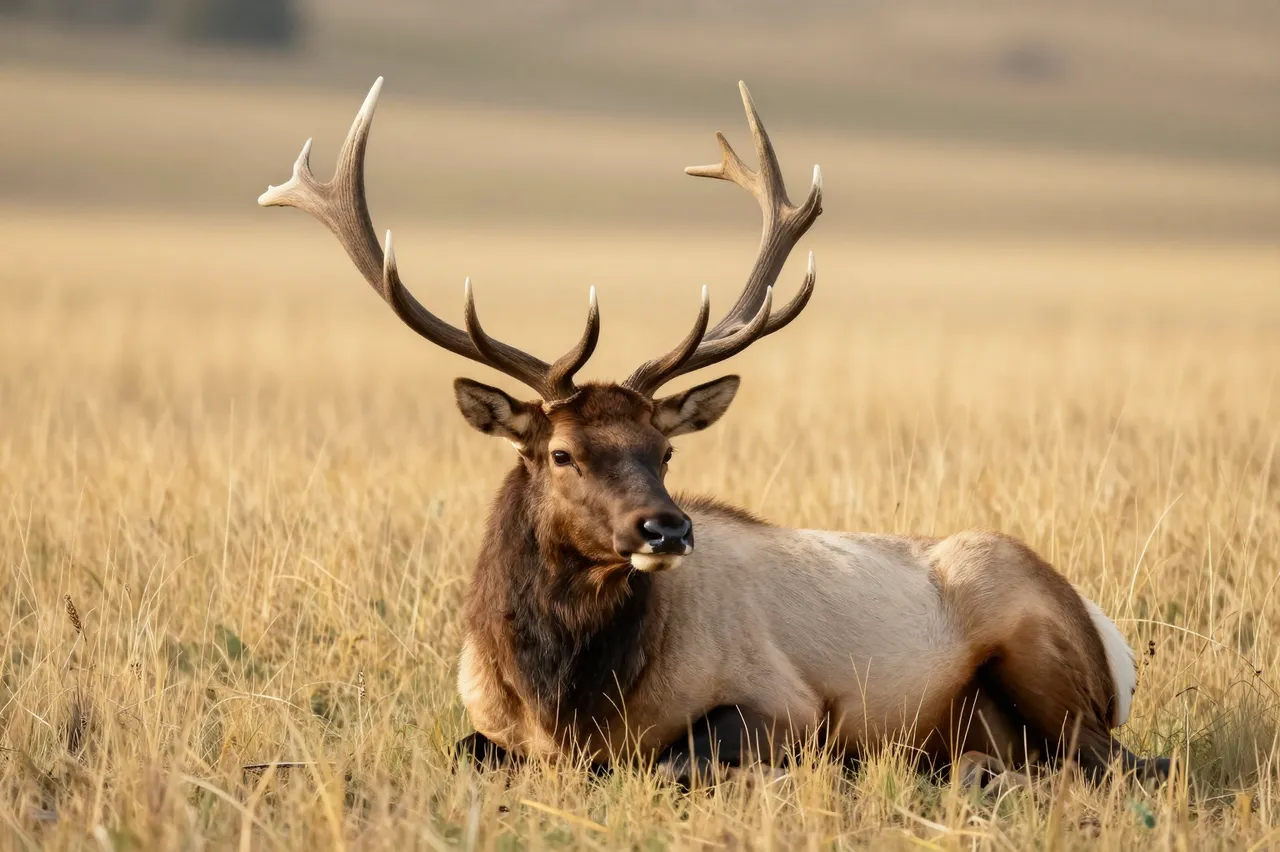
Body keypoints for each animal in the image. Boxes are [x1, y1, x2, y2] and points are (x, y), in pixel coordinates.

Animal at [259, 78, 1169, 786]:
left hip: (1041, 652)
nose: (666, 527)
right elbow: (465, 751)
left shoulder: (786, 702)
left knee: (1118, 763)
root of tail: (1109, 636)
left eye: (665, 450)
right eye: (560, 453)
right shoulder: (486, 725)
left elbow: (676, 760)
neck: (563, 699)